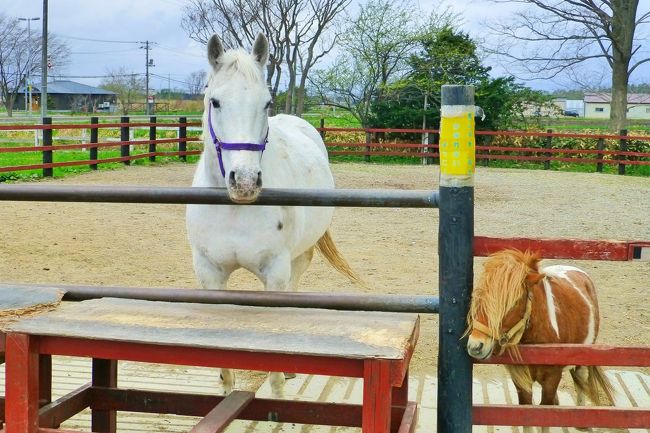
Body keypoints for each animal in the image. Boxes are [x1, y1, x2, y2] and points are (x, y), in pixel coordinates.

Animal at [185, 35, 360, 396]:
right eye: (216, 102)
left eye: (266, 103)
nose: (245, 181)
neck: (234, 210)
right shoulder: (209, 274)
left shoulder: (275, 273)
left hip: (298, 259)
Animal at [464, 250, 612, 428]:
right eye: (480, 297)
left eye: (514, 303)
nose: (475, 346)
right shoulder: (522, 382)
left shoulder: (551, 380)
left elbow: (544, 417)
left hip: (585, 352)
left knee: (580, 378)